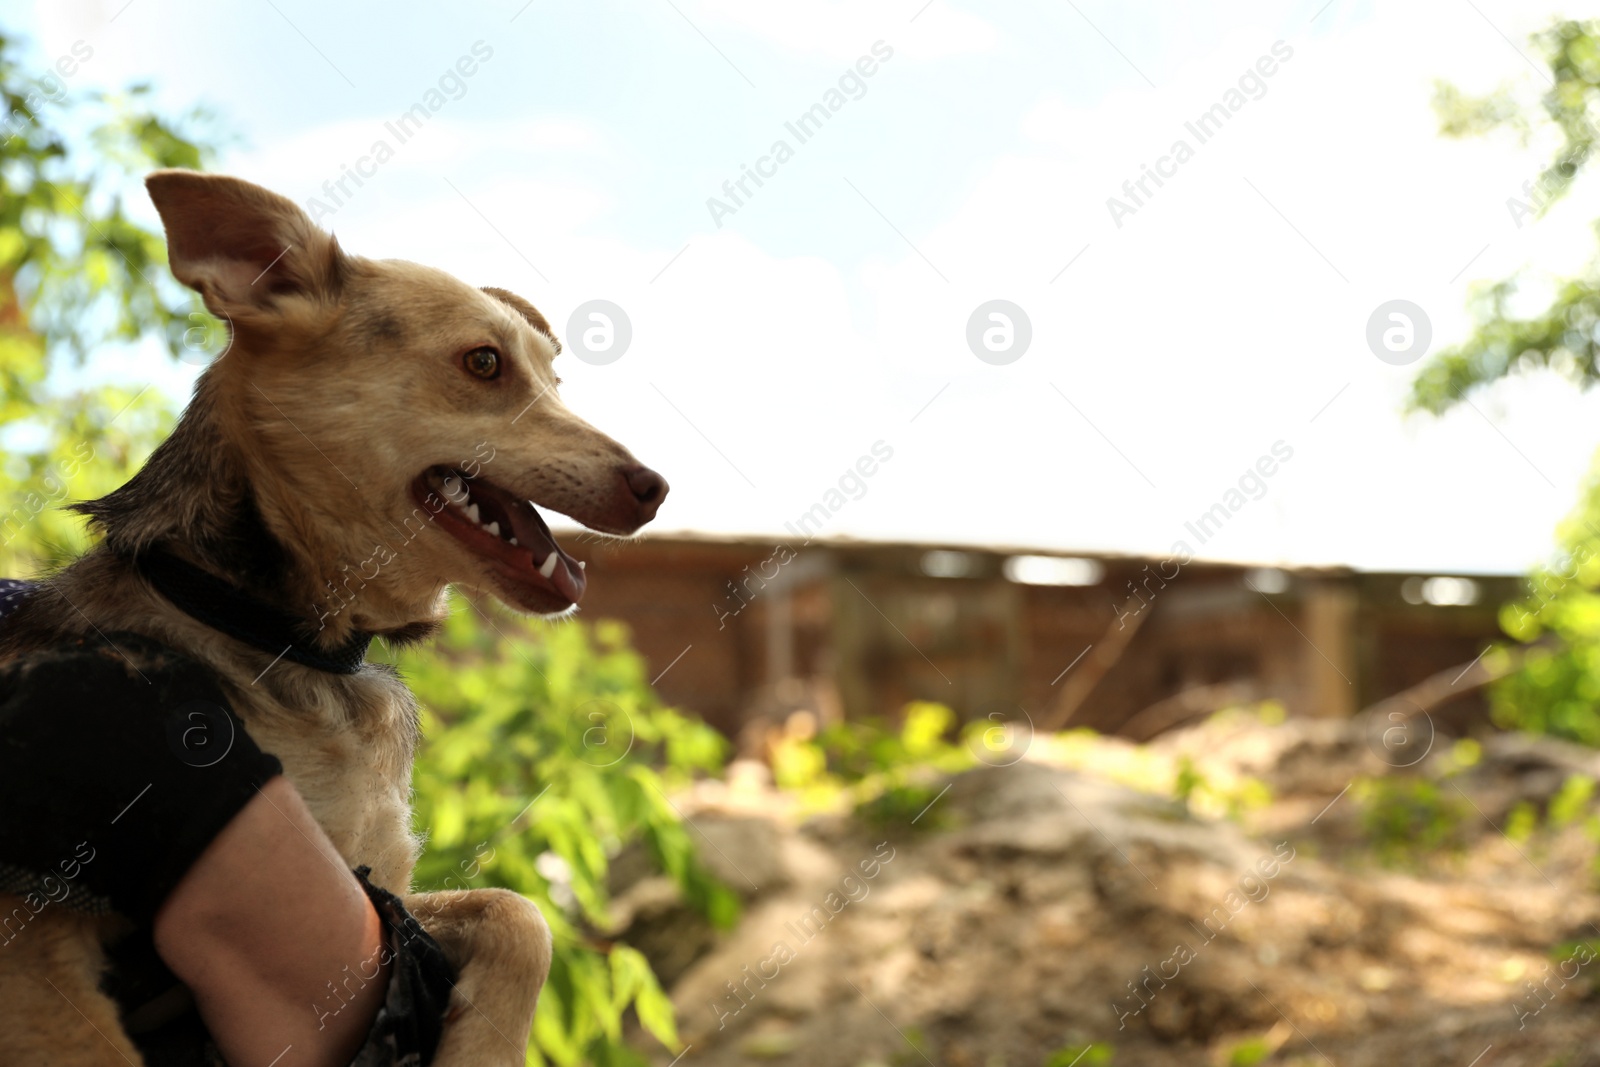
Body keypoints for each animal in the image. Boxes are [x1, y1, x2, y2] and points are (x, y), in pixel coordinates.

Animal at [0, 171, 668, 1062]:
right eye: (483, 362)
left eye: (556, 384)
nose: (654, 487)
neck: (284, 636)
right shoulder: (31, 939)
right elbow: (88, 1045)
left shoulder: (378, 900)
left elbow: (519, 911)